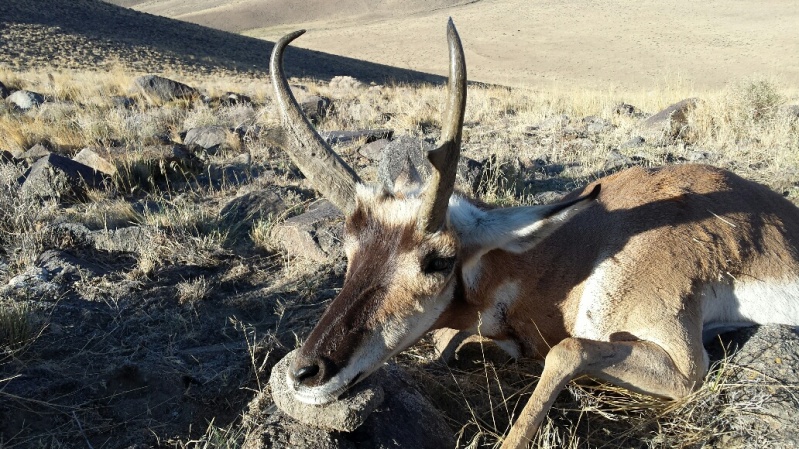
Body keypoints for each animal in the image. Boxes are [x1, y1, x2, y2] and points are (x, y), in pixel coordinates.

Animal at [268, 18, 799, 448]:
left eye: (438, 261)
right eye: (349, 248)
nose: (304, 372)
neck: (576, 249)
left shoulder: (688, 369)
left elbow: (565, 350)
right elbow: (450, 344)